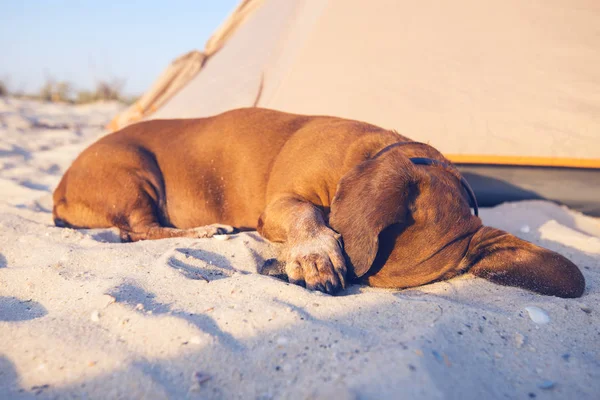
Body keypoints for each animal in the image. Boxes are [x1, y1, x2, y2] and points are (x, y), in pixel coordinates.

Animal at [52, 107, 584, 296]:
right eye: (346, 252)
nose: (271, 274)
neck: (368, 156)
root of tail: (60, 189)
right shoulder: (282, 205)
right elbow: (308, 217)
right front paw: (315, 254)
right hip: (135, 171)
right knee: (136, 229)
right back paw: (208, 229)